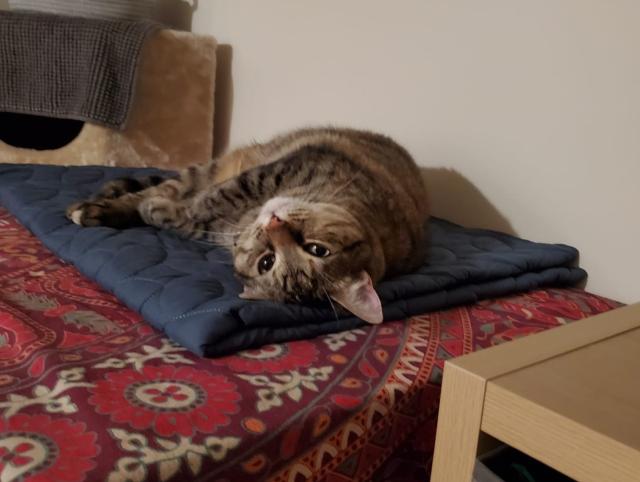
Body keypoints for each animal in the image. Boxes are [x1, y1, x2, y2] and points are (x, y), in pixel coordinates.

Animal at [66, 128, 430, 324]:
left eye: (266, 263)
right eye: (317, 249)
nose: (273, 224)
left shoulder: (215, 227)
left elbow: (187, 216)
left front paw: (159, 211)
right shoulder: (274, 171)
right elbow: (213, 197)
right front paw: (155, 206)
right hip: (210, 169)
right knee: (167, 185)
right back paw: (99, 203)